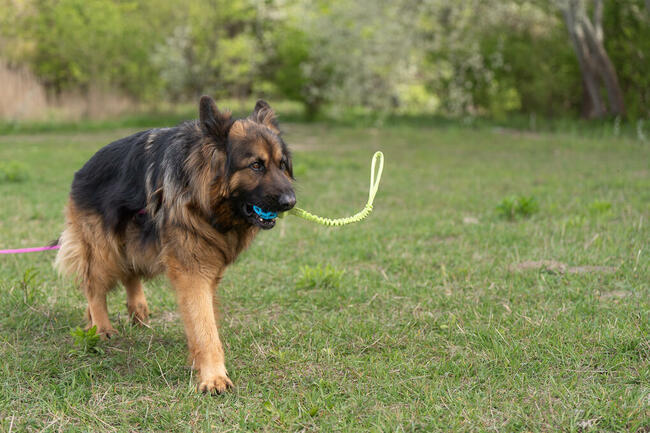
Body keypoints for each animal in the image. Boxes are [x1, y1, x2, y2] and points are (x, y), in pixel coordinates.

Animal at [54, 96, 294, 394]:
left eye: (281, 164)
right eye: (256, 165)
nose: (290, 202)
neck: (200, 195)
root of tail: (84, 168)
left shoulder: (207, 270)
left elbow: (201, 321)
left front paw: (199, 362)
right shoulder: (193, 272)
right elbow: (205, 327)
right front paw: (213, 376)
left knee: (129, 271)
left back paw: (133, 310)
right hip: (103, 250)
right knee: (93, 286)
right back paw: (101, 327)